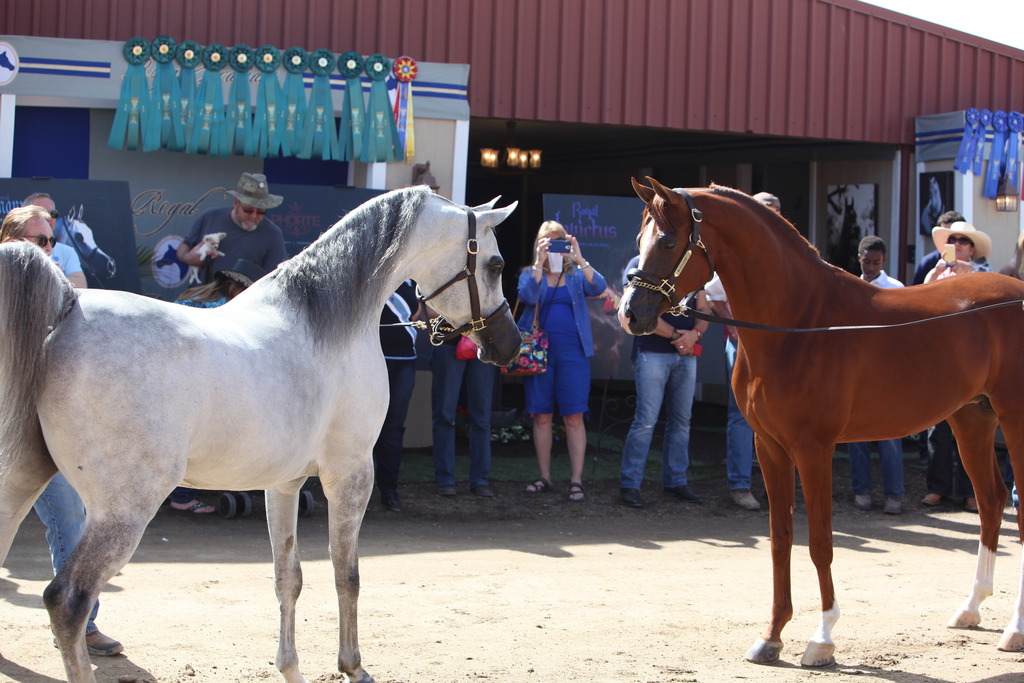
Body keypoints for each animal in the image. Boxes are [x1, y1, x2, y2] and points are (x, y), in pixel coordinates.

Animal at [0, 186, 521, 683]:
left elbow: (287, 576)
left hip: (22, 482)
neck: (327, 326)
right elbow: (346, 573)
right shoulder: (351, 475)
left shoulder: (283, 485)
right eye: (496, 264)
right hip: (124, 510)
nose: (508, 345)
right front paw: (352, 665)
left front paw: (290, 667)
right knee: (68, 600)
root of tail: (67, 309)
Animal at [618, 177, 1024, 667]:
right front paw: (771, 636)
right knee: (991, 501)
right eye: (639, 240)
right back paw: (971, 608)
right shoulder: (769, 447)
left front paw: (822, 639)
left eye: (667, 240)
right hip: (972, 419)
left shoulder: (814, 449)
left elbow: (820, 543)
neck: (799, 323)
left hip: (1014, 419)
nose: (631, 314)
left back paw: (1015, 631)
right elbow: (780, 539)